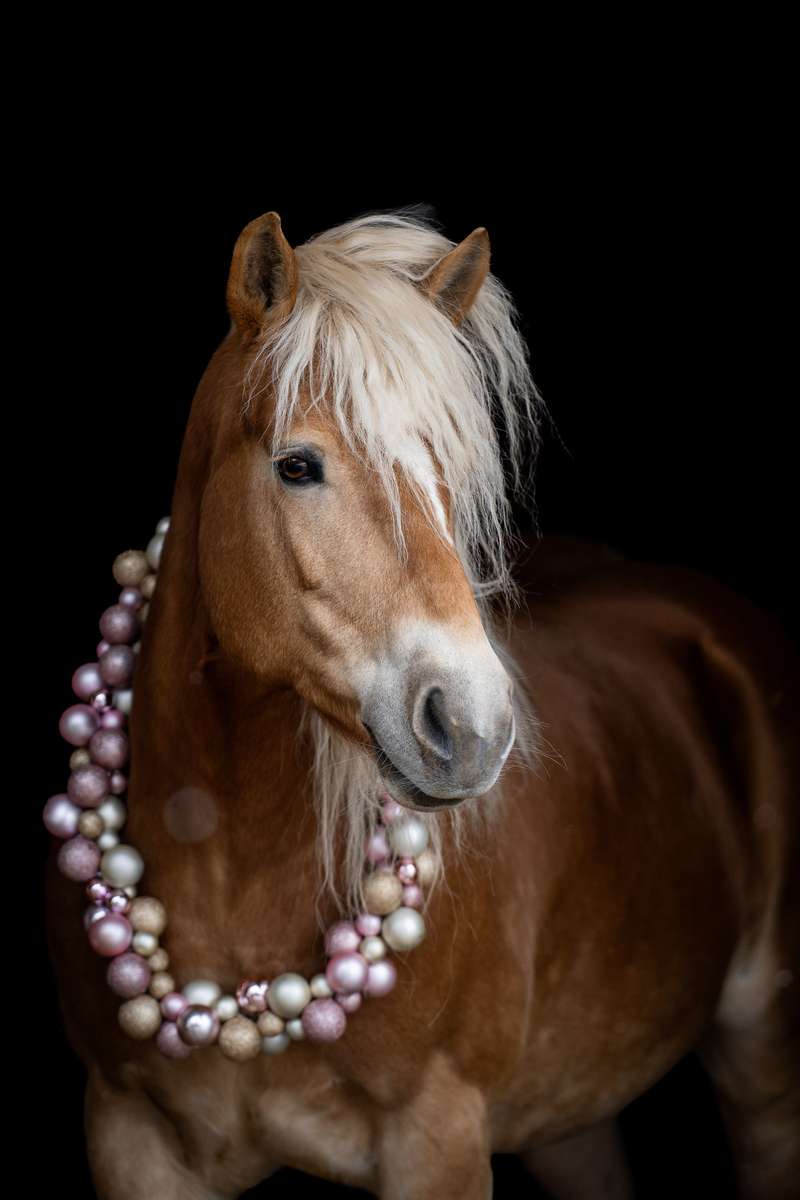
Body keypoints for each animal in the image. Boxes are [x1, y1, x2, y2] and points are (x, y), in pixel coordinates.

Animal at [45, 208, 800, 1200]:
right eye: (297, 465)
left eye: (447, 472)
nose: (473, 728)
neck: (230, 886)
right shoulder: (129, 1137)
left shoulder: (437, 1140)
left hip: (759, 1045)